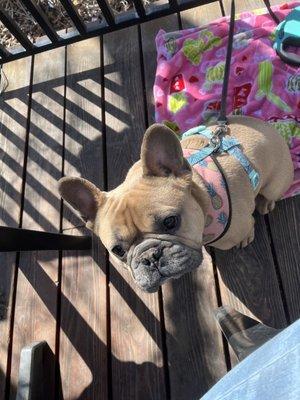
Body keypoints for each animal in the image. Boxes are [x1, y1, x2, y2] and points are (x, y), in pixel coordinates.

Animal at [58, 117, 292, 292]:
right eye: (118, 251)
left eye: (170, 221)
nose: (149, 258)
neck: (203, 196)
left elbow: (246, 227)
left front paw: (246, 236)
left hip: (274, 184)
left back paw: (265, 203)